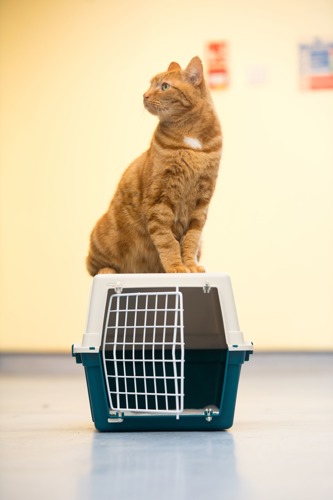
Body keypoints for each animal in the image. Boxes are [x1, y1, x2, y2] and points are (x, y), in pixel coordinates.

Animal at [85, 59, 220, 278]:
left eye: (164, 86)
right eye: (149, 85)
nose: (144, 95)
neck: (189, 136)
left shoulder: (201, 202)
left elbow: (190, 240)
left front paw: (190, 266)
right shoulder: (159, 198)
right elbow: (167, 241)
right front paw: (176, 267)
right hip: (103, 237)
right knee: (94, 268)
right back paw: (108, 272)